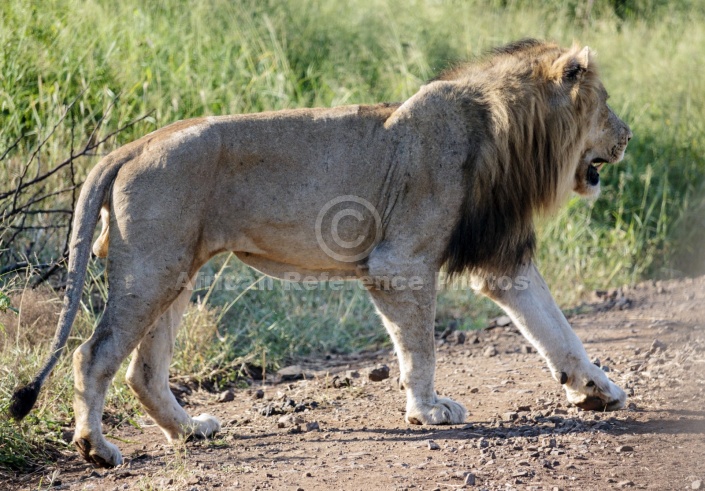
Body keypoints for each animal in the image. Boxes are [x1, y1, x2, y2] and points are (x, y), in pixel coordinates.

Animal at [11, 39, 628, 468]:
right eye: (606, 106)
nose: (629, 137)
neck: (511, 133)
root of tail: (134, 145)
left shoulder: (503, 259)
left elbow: (556, 328)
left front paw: (597, 389)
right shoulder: (400, 263)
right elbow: (421, 349)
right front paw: (429, 411)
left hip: (176, 270)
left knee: (143, 371)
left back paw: (190, 431)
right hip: (152, 270)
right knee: (92, 355)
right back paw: (97, 449)